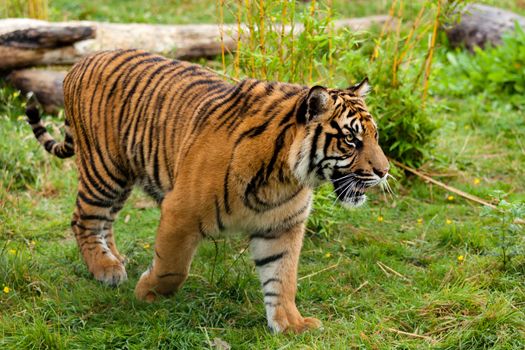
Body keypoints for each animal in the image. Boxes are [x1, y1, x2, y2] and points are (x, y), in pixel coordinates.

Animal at [27, 48, 388, 334]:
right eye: (351, 140)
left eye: (374, 135)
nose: (384, 171)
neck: (284, 177)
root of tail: (82, 61)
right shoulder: (179, 212)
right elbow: (173, 268)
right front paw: (147, 292)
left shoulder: (282, 227)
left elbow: (282, 278)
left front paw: (290, 324)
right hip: (104, 170)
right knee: (83, 219)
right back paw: (105, 269)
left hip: (122, 177)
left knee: (106, 221)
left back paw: (115, 258)